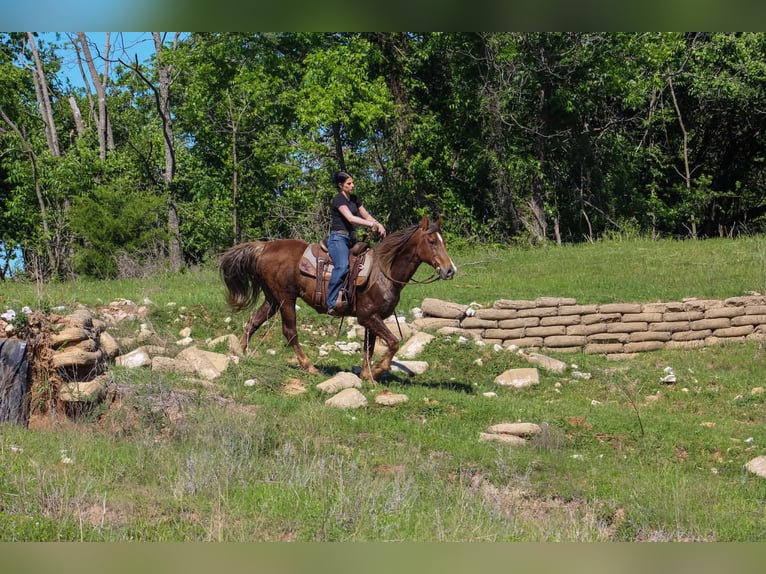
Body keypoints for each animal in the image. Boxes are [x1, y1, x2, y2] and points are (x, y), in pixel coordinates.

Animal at [219, 216, 457, 382]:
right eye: (432, 241)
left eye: (443, 241)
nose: (449, 270)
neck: (384, 271)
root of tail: (264, 247)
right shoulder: (368, 317)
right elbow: (393, 343)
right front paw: (377, 371)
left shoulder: (372, 318)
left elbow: (369, 347)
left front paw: (366, 374)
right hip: (286, 299)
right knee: (290, 332)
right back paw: (309, 366)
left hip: (273, 299)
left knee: (253, 321)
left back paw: (239, 353)